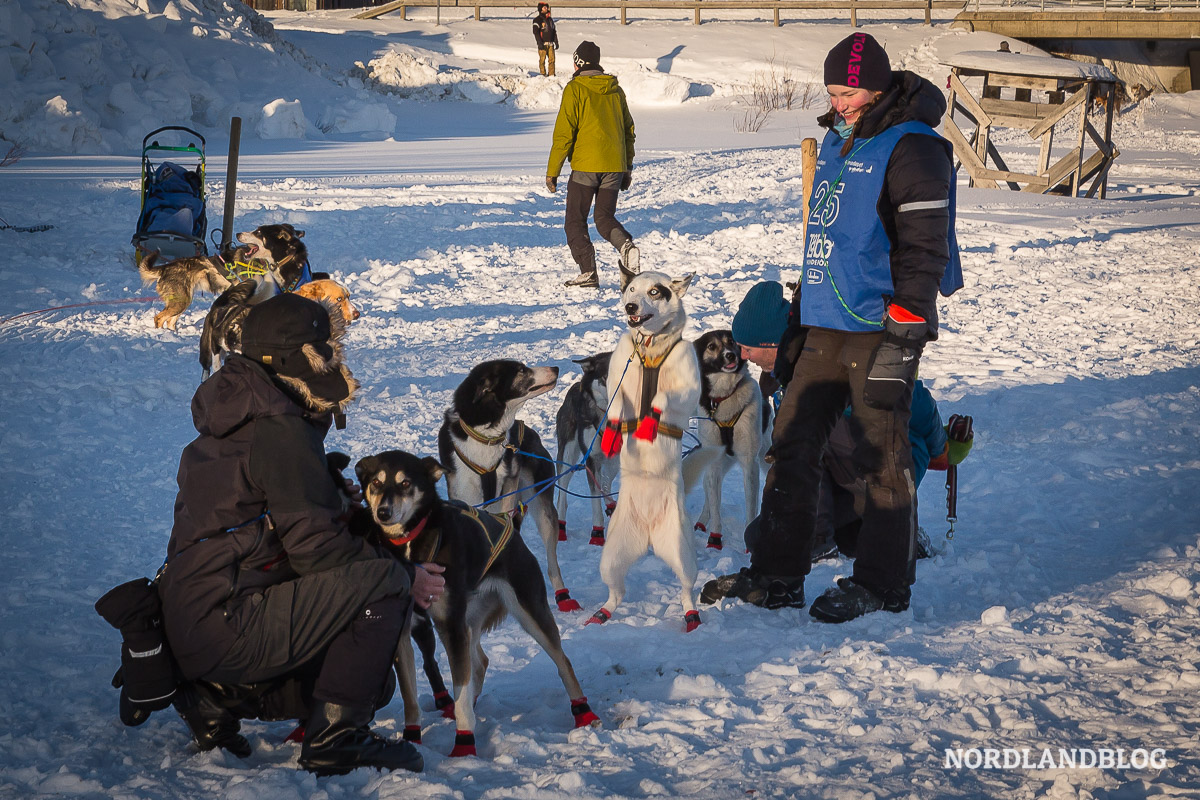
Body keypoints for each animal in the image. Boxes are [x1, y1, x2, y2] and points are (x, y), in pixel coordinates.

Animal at [352, 450, 600, 758]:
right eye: (376, 482)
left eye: (405, 483)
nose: (383, 512)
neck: (412, 544)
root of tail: (510, 526)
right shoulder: (407, 634)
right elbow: (411, 696)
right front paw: (412, 737)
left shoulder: (451, 626)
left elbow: (459, 690)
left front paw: (464, 744)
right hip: (467, 623)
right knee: (479, 662)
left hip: (525, 612)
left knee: (562, 660)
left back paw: (584, 712)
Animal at [554, 352, 619, 546]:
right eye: (606, 376)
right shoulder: (592, 459)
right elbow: (595, 502)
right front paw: (597, 534)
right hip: (567, 456)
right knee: (562, 496)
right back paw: (560, 527)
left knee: (605, 484)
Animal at [585, 266, 715, 633]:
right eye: (631, 289)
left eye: (654, 291)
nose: (630, 307)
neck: (650, 350)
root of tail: (649, 537)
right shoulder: (620, 376)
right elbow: (617, 406)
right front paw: (615, 432)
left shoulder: (685, 384)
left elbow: (664, 399)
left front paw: (650, 419)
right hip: (611, 558)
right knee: (616, 592)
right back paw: (602, 613)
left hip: (684, 557)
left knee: (686, 590)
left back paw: (691, 615)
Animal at [696, 331, 768, 551]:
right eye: (711, 346)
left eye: (732, 341)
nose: (730, 355)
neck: (724, 397)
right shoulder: (713, 466)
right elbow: (715, 505)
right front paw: (715, 538)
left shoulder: (750, 463)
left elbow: (751, 506)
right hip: (716, 467)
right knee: (708, 497)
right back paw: (701, 522)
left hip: (765, 459)